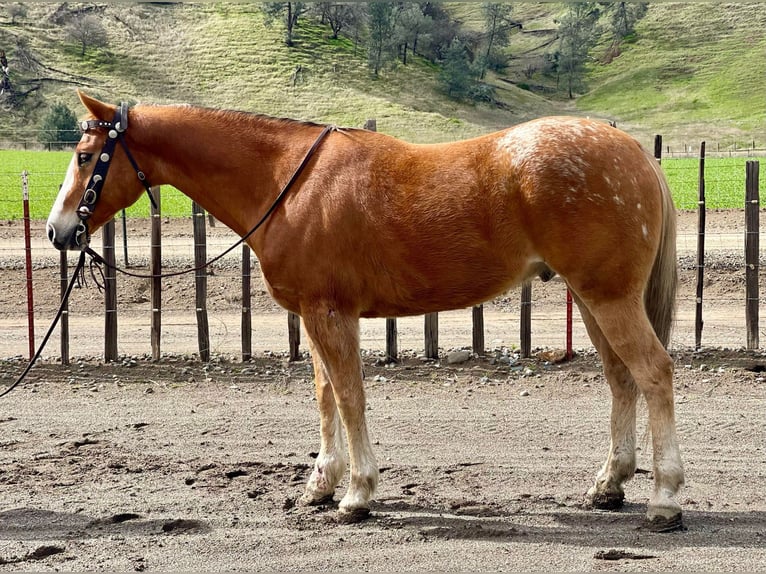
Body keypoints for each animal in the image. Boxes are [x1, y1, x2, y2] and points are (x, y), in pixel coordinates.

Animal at [46, 92, 684, 532]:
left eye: (84, 156)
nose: (57, 232)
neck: (289, 182)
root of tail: (635, 153)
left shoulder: (331, 314)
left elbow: (351, 396)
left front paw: (357, 493)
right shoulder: (314, 314)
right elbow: (326, 396)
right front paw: (320, 484)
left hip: (608, 297)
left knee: (654, 374)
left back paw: (665, 498)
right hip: (594, 299)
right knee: (621, 379)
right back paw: (609, 485)